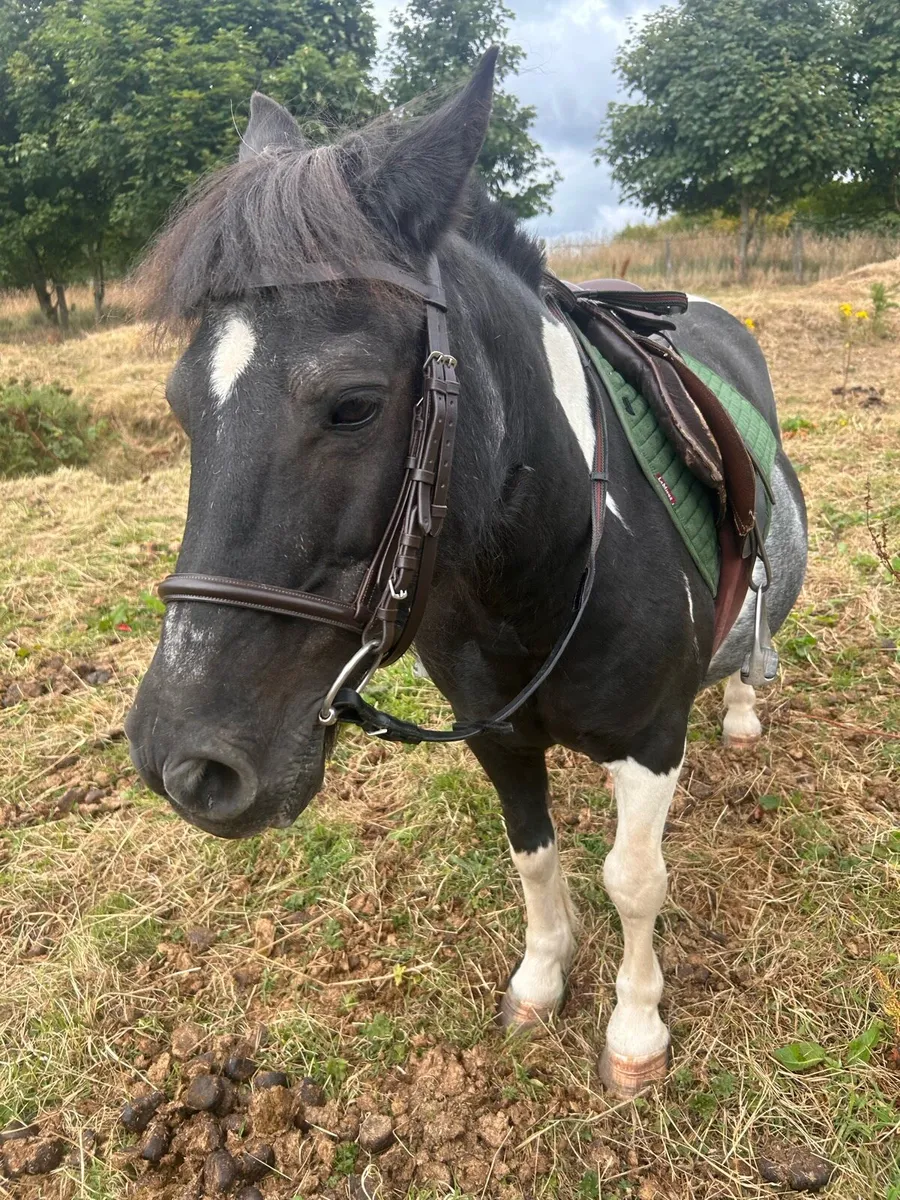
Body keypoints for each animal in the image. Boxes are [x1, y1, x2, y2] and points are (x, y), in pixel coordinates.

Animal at [126, 49, 808, 1098]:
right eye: (181, 405)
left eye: (355, 405)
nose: (182, 764)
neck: (539, 572)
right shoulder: (499, 737)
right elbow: (533, 857)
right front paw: (542, 977)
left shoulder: (652, 739)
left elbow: (633, 880)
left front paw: (635, 1029)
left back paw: (738, 707)